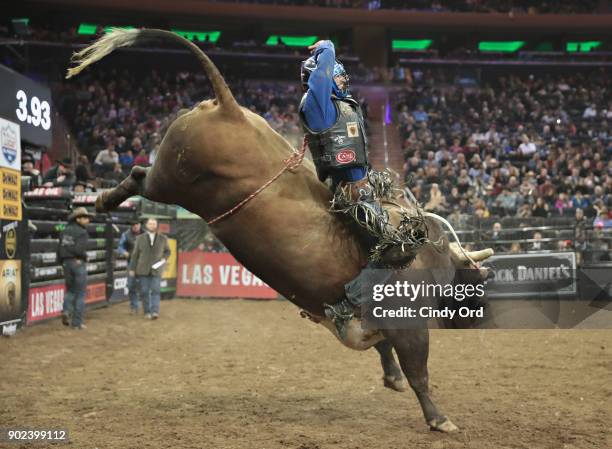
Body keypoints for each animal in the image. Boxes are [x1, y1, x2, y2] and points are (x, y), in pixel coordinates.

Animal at [67, 28, 492, 434]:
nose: (484, 285)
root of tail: (229, 108)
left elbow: (383, 349)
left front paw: (392, 378)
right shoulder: (407, 325)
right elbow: (418, 373)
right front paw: (439, 419)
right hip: (172, 179)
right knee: (141, 175)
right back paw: (103, 200)